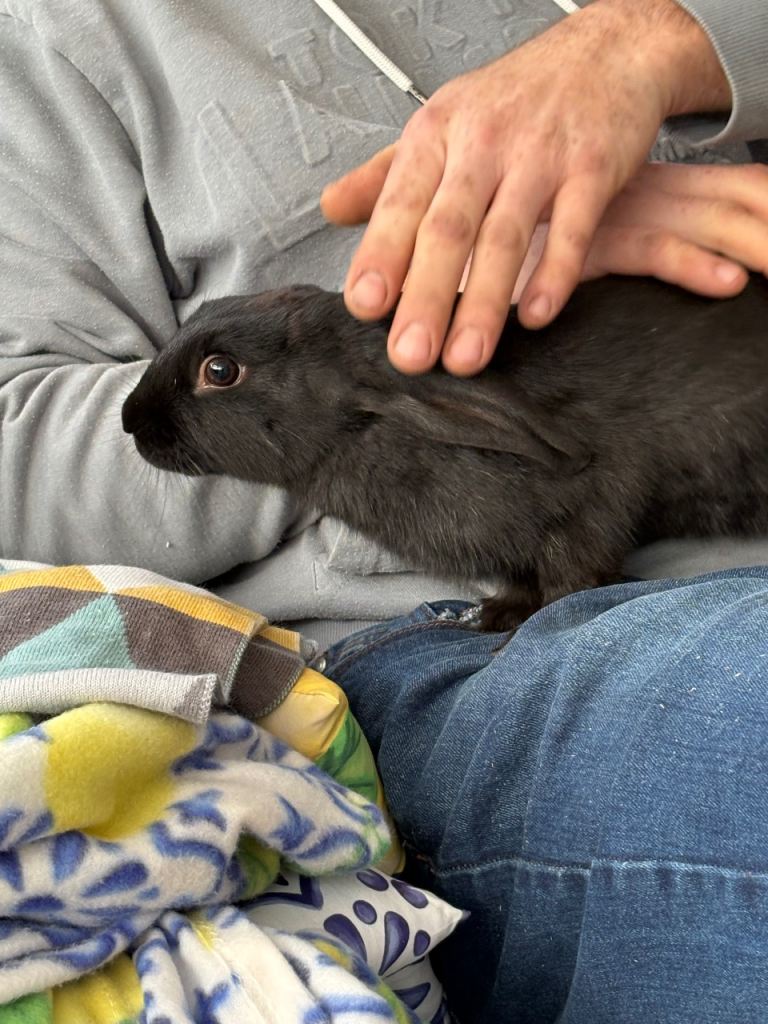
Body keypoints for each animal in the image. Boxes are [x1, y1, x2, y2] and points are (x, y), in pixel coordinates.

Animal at [122, 274, 768, 631]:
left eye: (220, 370)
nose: (131, 420)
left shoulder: (595, 513)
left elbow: (570, 577)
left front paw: (512, 631)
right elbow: (523, 580)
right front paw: (495, 616)